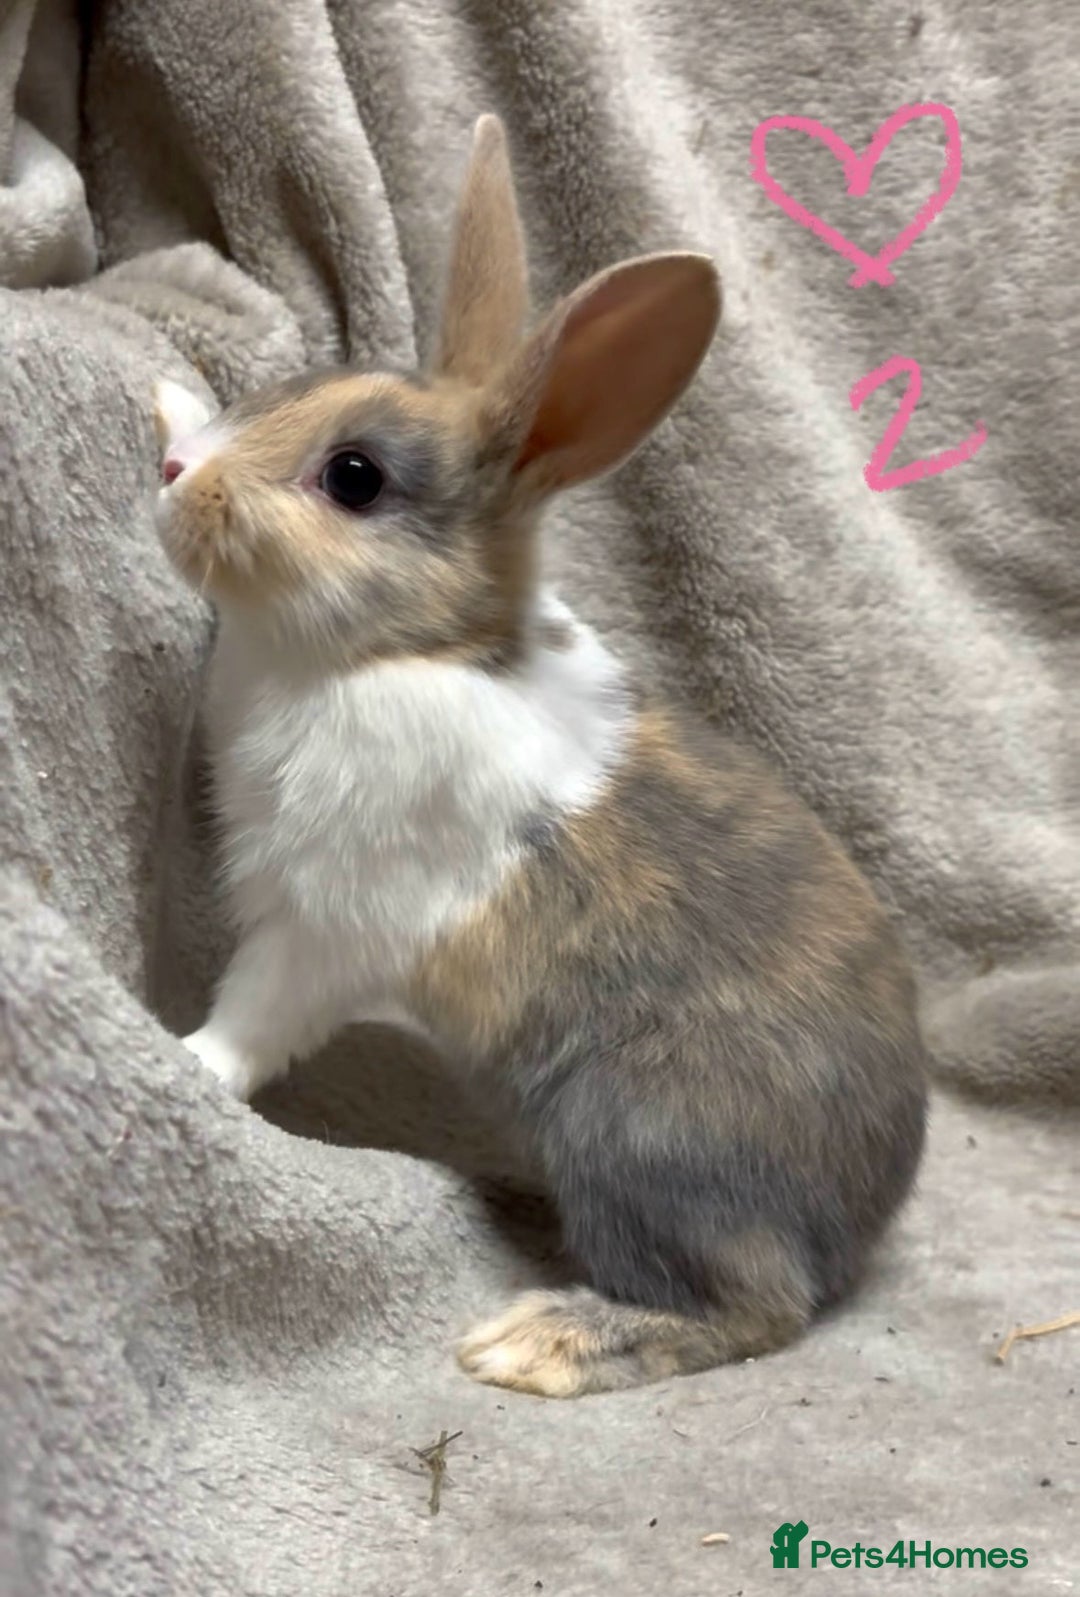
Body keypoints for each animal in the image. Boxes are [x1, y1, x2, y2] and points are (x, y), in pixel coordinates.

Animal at [153, 113, 927, 1399]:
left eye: (353, 477)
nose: (178, 478)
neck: (409, 648)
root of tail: (854, 1222)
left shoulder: (327, 919)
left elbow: (259, 1010)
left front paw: (190, 1061)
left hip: (632, 1137)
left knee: (753, 1312)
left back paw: (541, 1339)